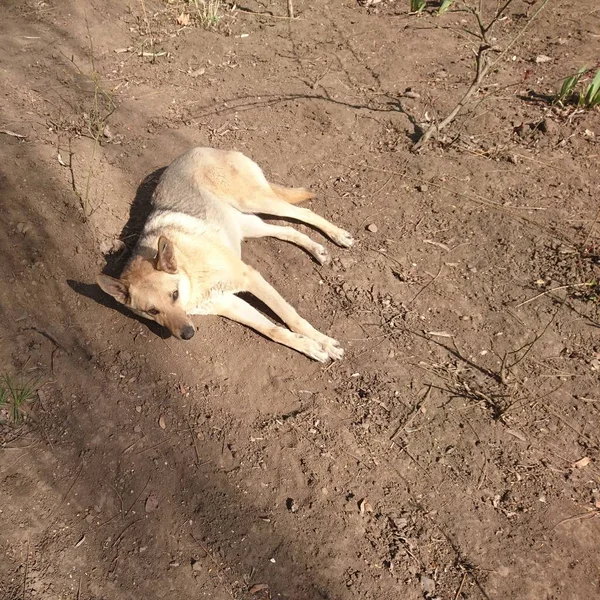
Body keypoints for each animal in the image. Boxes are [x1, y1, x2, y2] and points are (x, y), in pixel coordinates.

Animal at [96, 146, 354, 360]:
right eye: (152, 311)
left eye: (174, 295)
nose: (187, 334)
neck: (189, 272)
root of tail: (199, 148)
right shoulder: (227, 303)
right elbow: (272, 329)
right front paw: (309, 346)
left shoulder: (250, 278)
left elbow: (292, 318)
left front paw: (324, 342)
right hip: (248, 225)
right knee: (288, 230)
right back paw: (318, 250)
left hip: (253, 201)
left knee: (303, 213)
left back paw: (339, 235)